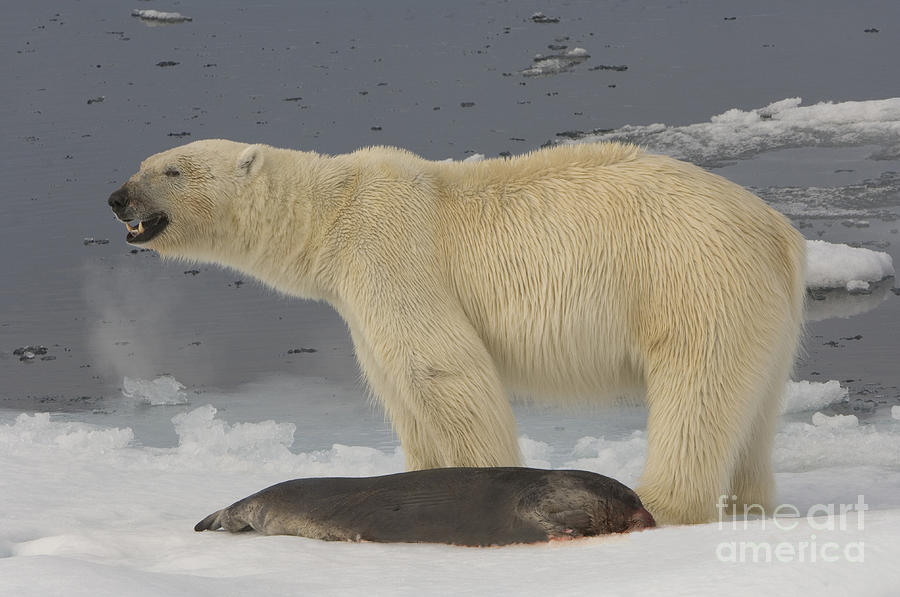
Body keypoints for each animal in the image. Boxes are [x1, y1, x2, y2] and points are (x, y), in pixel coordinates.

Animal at [107, 140, 808, 520]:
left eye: (171, 171)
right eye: (142, 161)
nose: (117, 198)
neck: (333, 211)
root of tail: (779, 231)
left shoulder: (391, 250)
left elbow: (441, 368)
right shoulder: (356, 296)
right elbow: (397, 388)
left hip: (690, 282)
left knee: (697, 393)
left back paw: (664, 502)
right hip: (765, 315)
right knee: (755, 411)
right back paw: (750, 505)